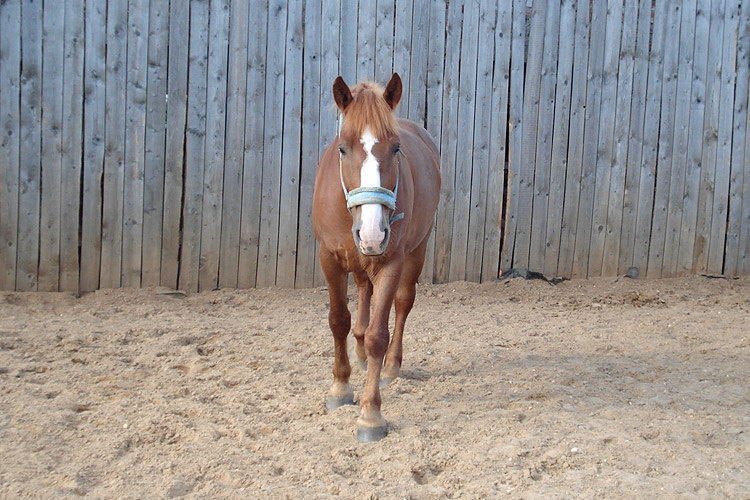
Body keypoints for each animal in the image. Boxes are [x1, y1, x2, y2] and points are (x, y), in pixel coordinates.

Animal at [314, 72, 444, 440]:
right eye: (343, 148)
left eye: (396, 148)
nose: (373, 232)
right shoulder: (329, 258)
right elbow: (338, 320)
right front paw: (340, 387)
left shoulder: (391, 262)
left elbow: (378, 335)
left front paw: (370, 414)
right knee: (362, 293)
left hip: (415, 251)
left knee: (402, 304)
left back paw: (391, 367)